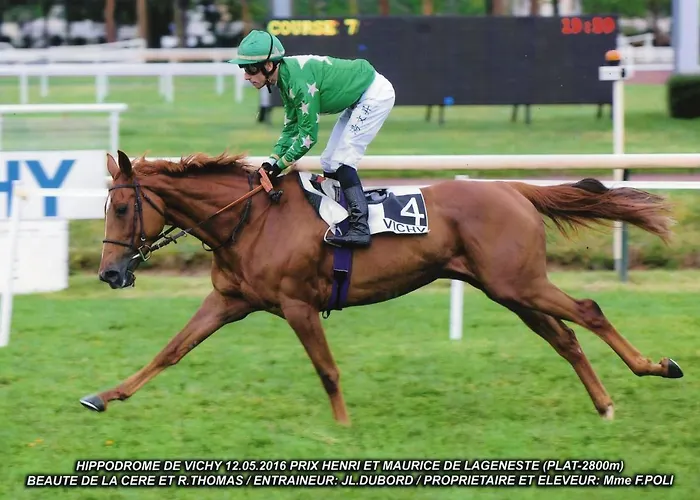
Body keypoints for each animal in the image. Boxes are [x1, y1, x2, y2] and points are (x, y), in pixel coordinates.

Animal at [80, 150, 683, 425]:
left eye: (125, 208)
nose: (109, 273)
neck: (249, 219)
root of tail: (514, 189)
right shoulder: (229, 301)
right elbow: (170, 351)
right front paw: (104, 395)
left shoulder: (297, 304)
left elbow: (326, 369)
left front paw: (344, 428)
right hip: (510, 289)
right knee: (566, 337)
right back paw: (605, 403)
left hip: (520, 282)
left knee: (589, 309)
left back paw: (657, 366)